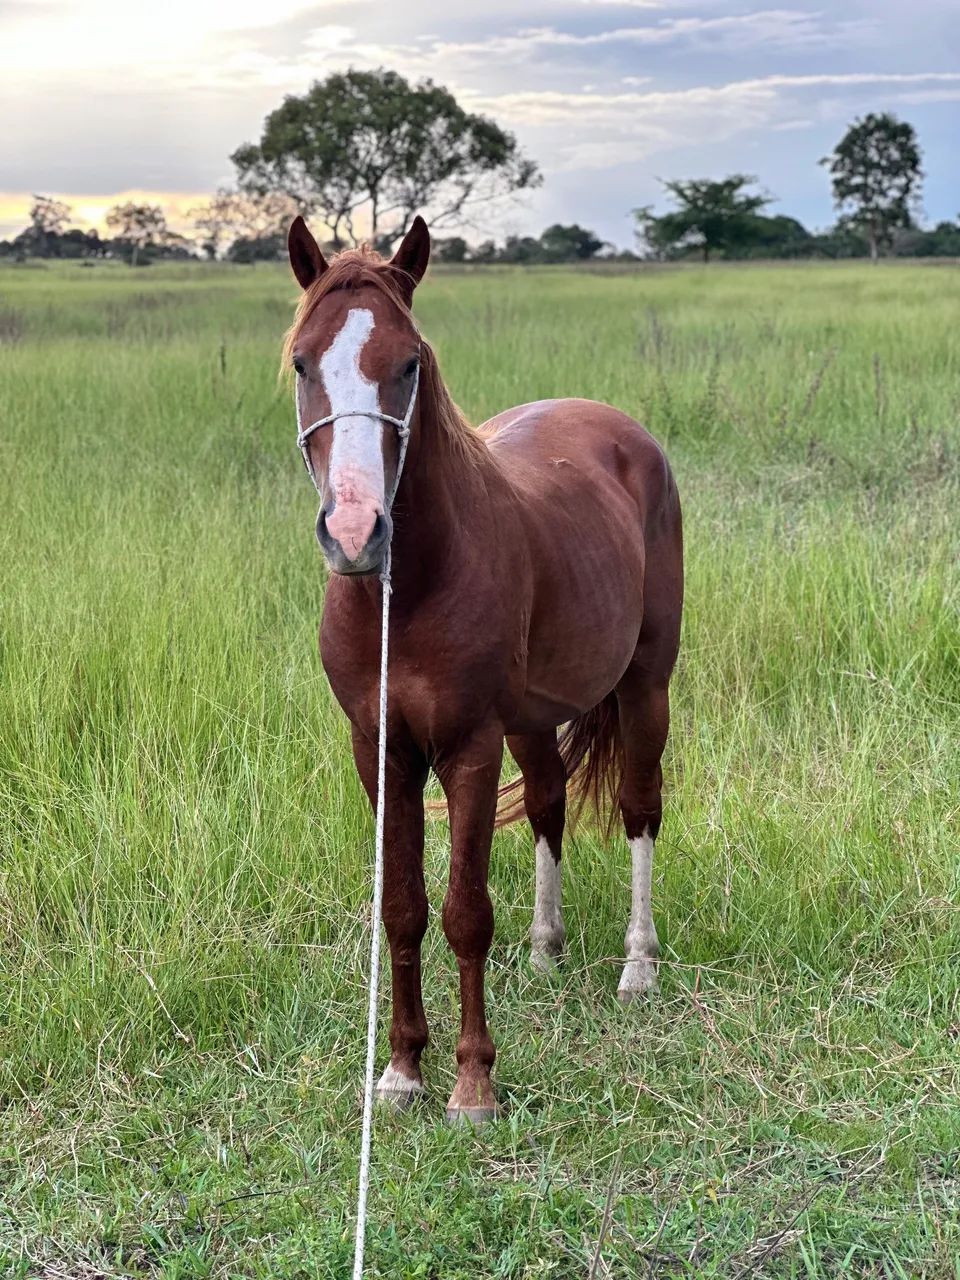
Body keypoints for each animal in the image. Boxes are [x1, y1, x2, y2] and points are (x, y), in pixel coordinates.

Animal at [284, 215, 683, 1123]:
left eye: (408, 362)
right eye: (301, 362)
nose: (355, 533)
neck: (407, 591)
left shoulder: (470, 746)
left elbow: (465, 910)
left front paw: (473, 1083)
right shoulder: (381, 748)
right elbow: (402, 908)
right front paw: (402, 1070)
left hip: (646, 688)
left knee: (640, 809)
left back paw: (637, 967)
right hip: (532, 722)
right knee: (547, 806)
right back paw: (544, 949)